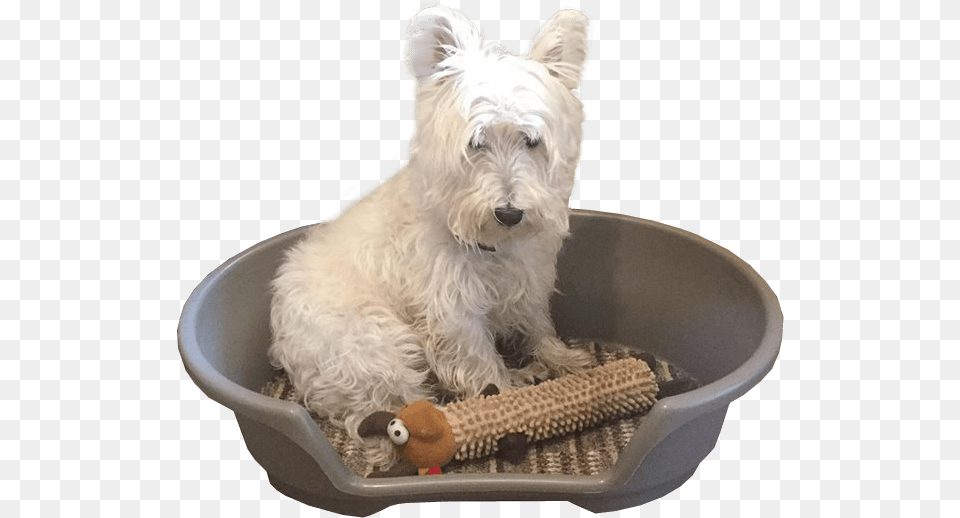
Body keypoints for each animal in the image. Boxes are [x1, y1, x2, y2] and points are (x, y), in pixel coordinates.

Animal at [266, 4, 588, 468]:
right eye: (476, 143)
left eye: (532, 141)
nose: (509, 213)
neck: (490, 244)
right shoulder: (453, 313)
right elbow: (482, 365)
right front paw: (508, 397)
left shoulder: (528, 282)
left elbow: (538, 325)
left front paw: (562, 358)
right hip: (379, 347)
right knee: (391, 408)